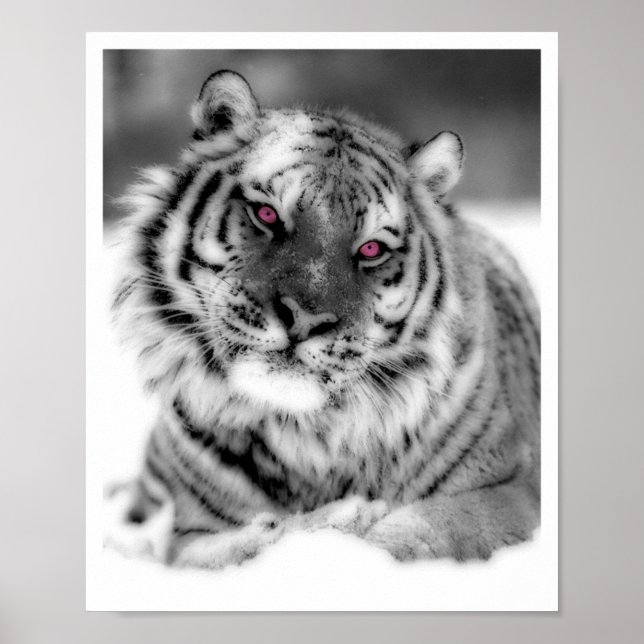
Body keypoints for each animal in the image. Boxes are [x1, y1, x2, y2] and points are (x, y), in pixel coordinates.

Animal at [104, 69, 540, 568]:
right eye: (266, 213)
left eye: (371, 248)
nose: (305, 319)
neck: (305, 439)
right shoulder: (189, 531)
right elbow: (223, 551)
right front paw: (328, 522)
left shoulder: (509, 492)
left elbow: (413, 533)